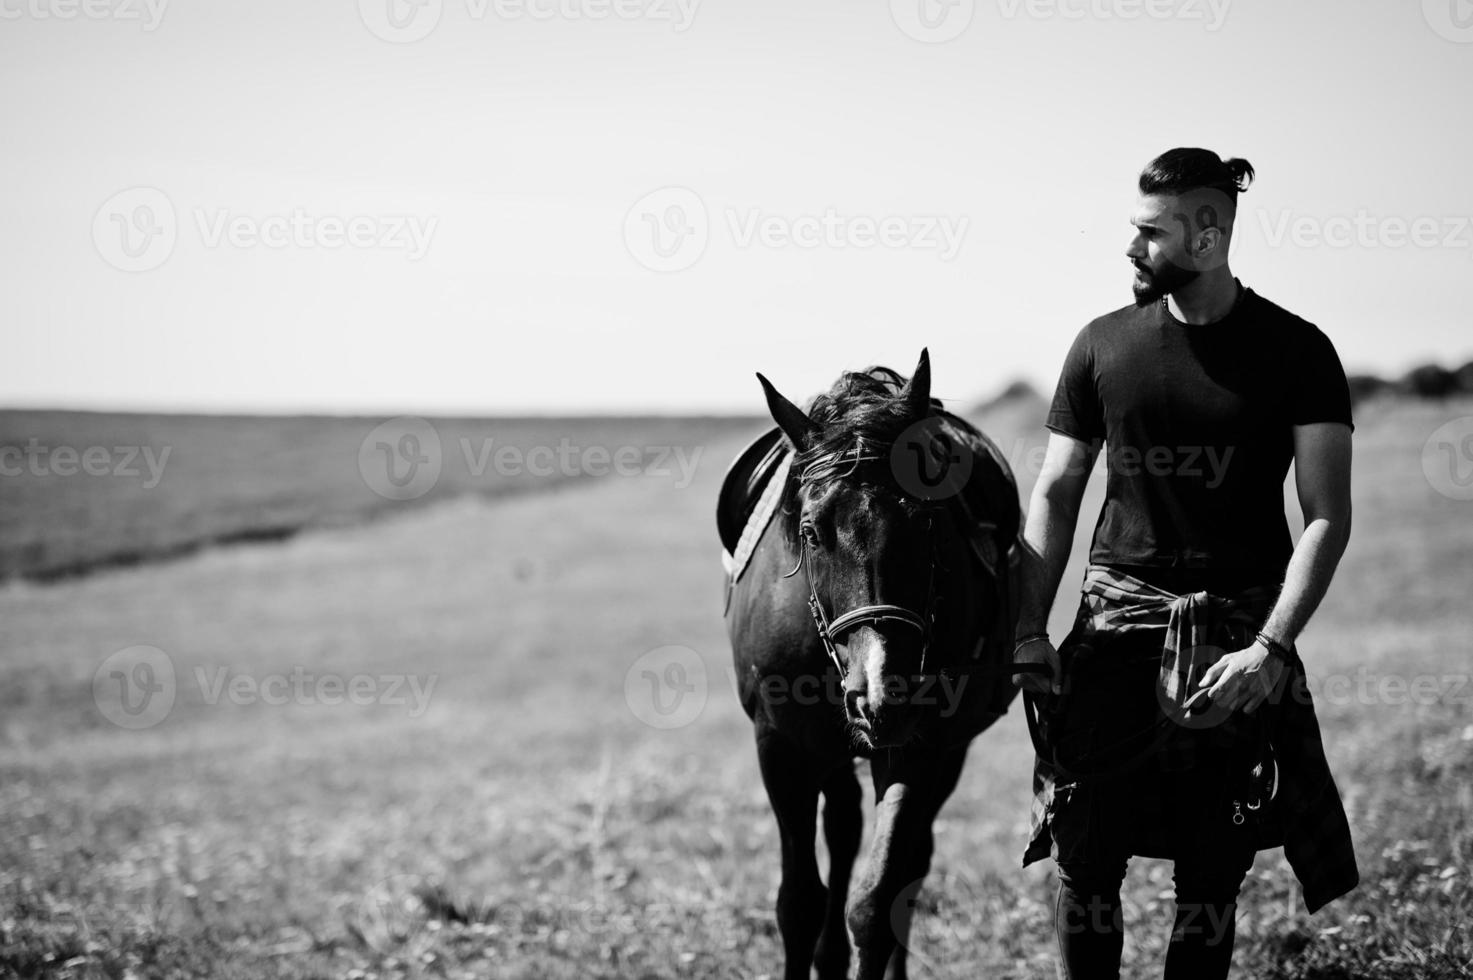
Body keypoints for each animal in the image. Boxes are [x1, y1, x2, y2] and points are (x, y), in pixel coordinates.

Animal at [721, 352, 1025, 978]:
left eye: (928, 521)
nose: (881, 694)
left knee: (908, 864)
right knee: (842, 828)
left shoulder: (920, 746)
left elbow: (876, 901)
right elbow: (799, 903)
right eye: (811, 532)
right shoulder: (780, 748)